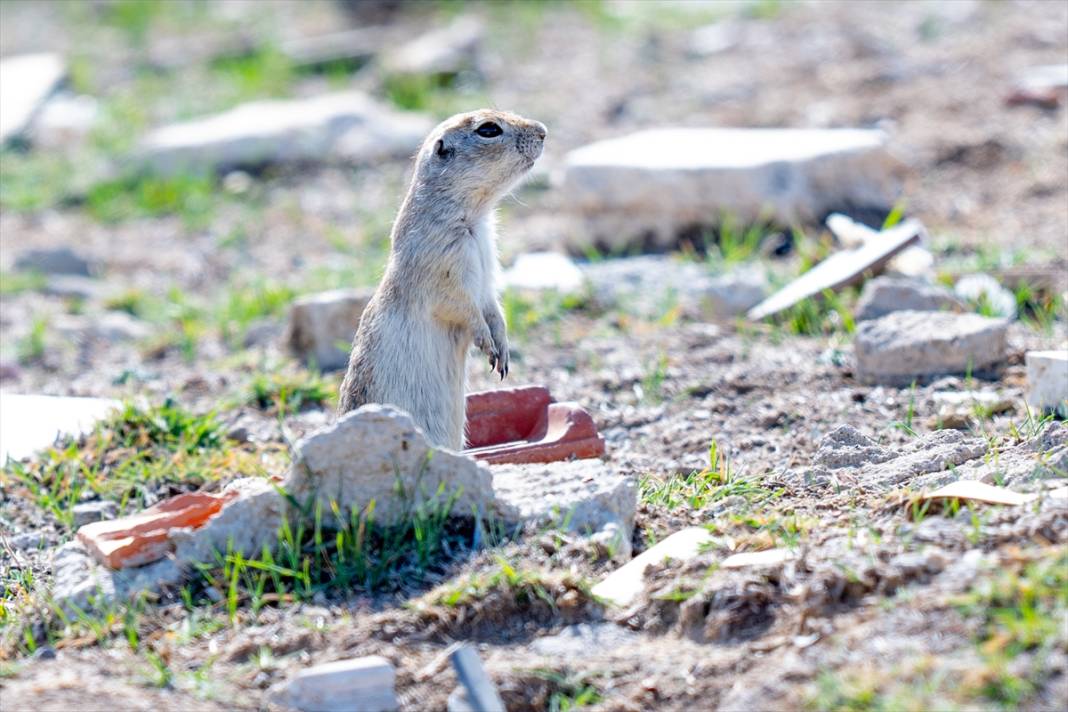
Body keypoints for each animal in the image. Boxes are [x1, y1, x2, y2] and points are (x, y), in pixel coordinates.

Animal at [337, 108, 546, 448]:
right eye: (489, 130)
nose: (543, 131)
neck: (474, 218)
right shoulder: (443, 268)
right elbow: (459, 305)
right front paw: (487, 344)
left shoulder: (487, 272)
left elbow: (492, 306)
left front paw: (503, 351)